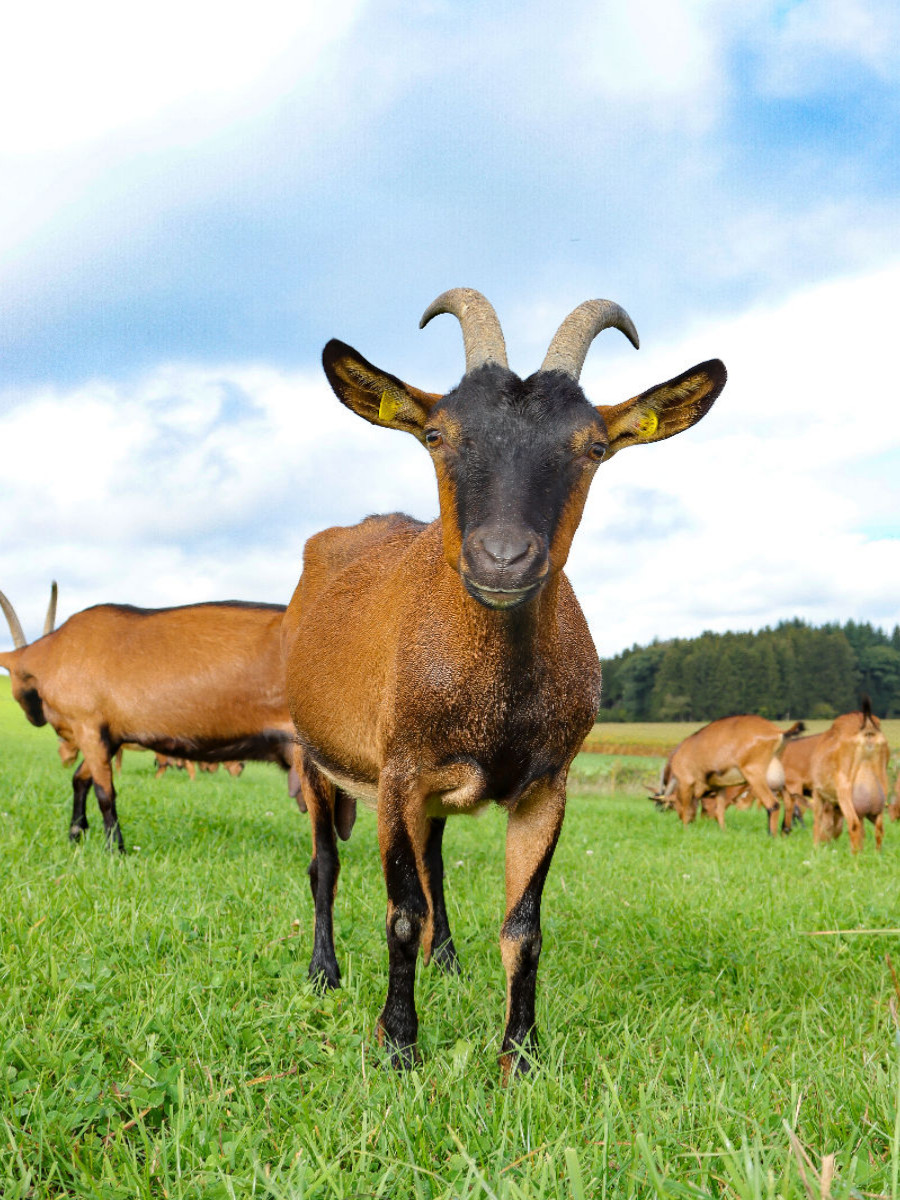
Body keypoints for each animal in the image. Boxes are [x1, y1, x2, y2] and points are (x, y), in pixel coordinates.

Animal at [0, 585, 303, 849]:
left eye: (15, 675)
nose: (35, 718)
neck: (54, 652)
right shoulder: (110, 736)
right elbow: (80, 778)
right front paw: (76, 835)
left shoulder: (88, 725)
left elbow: (105, 792)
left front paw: (115, 851)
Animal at [282, 285, 724, 1075]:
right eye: (436, 435)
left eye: (594, 447)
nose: (503, 560)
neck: (496, 696)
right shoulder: (398, 770)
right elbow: (400, 911)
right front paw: (398, 1045)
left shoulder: (547, 785)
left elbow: (524, 926)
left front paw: (520, 1054)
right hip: (316, 755)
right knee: (325, 864)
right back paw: (324, 973)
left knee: (434, 863)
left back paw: (448, 963)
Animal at [657, 710, 811, 835]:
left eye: (672, 804)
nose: (691, 822)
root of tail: (776, 731)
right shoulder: (720, 787)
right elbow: (719, 811)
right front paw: (723, 832)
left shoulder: (685, 782)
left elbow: (685, 807)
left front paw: (685, 830)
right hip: (776, 777)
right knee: (789, 801)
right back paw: (785, 831)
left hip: (755, 776)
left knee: (773, 804)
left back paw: (772, 836)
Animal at [811, 700, 888, 854]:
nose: (826, 842)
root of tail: (867, 726)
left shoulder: (817, 792)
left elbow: (817, 821)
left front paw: (815, 849)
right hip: (883, 789)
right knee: (879, 828)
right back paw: (876, 854)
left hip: (845, 791)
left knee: (853, 824)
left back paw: (855, 855)